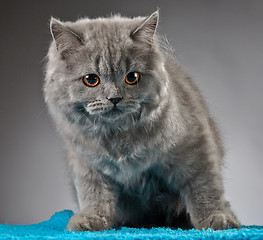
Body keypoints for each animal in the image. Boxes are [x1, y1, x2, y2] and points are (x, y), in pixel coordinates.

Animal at [43, 10, 241, 231]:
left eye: (132, 77)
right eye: (91, 80)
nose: (114, 98)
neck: (118, 135)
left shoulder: (195, 146)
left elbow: (204, 187)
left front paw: (216, 218)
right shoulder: (86, 162)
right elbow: (93, 192)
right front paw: (91, 218)